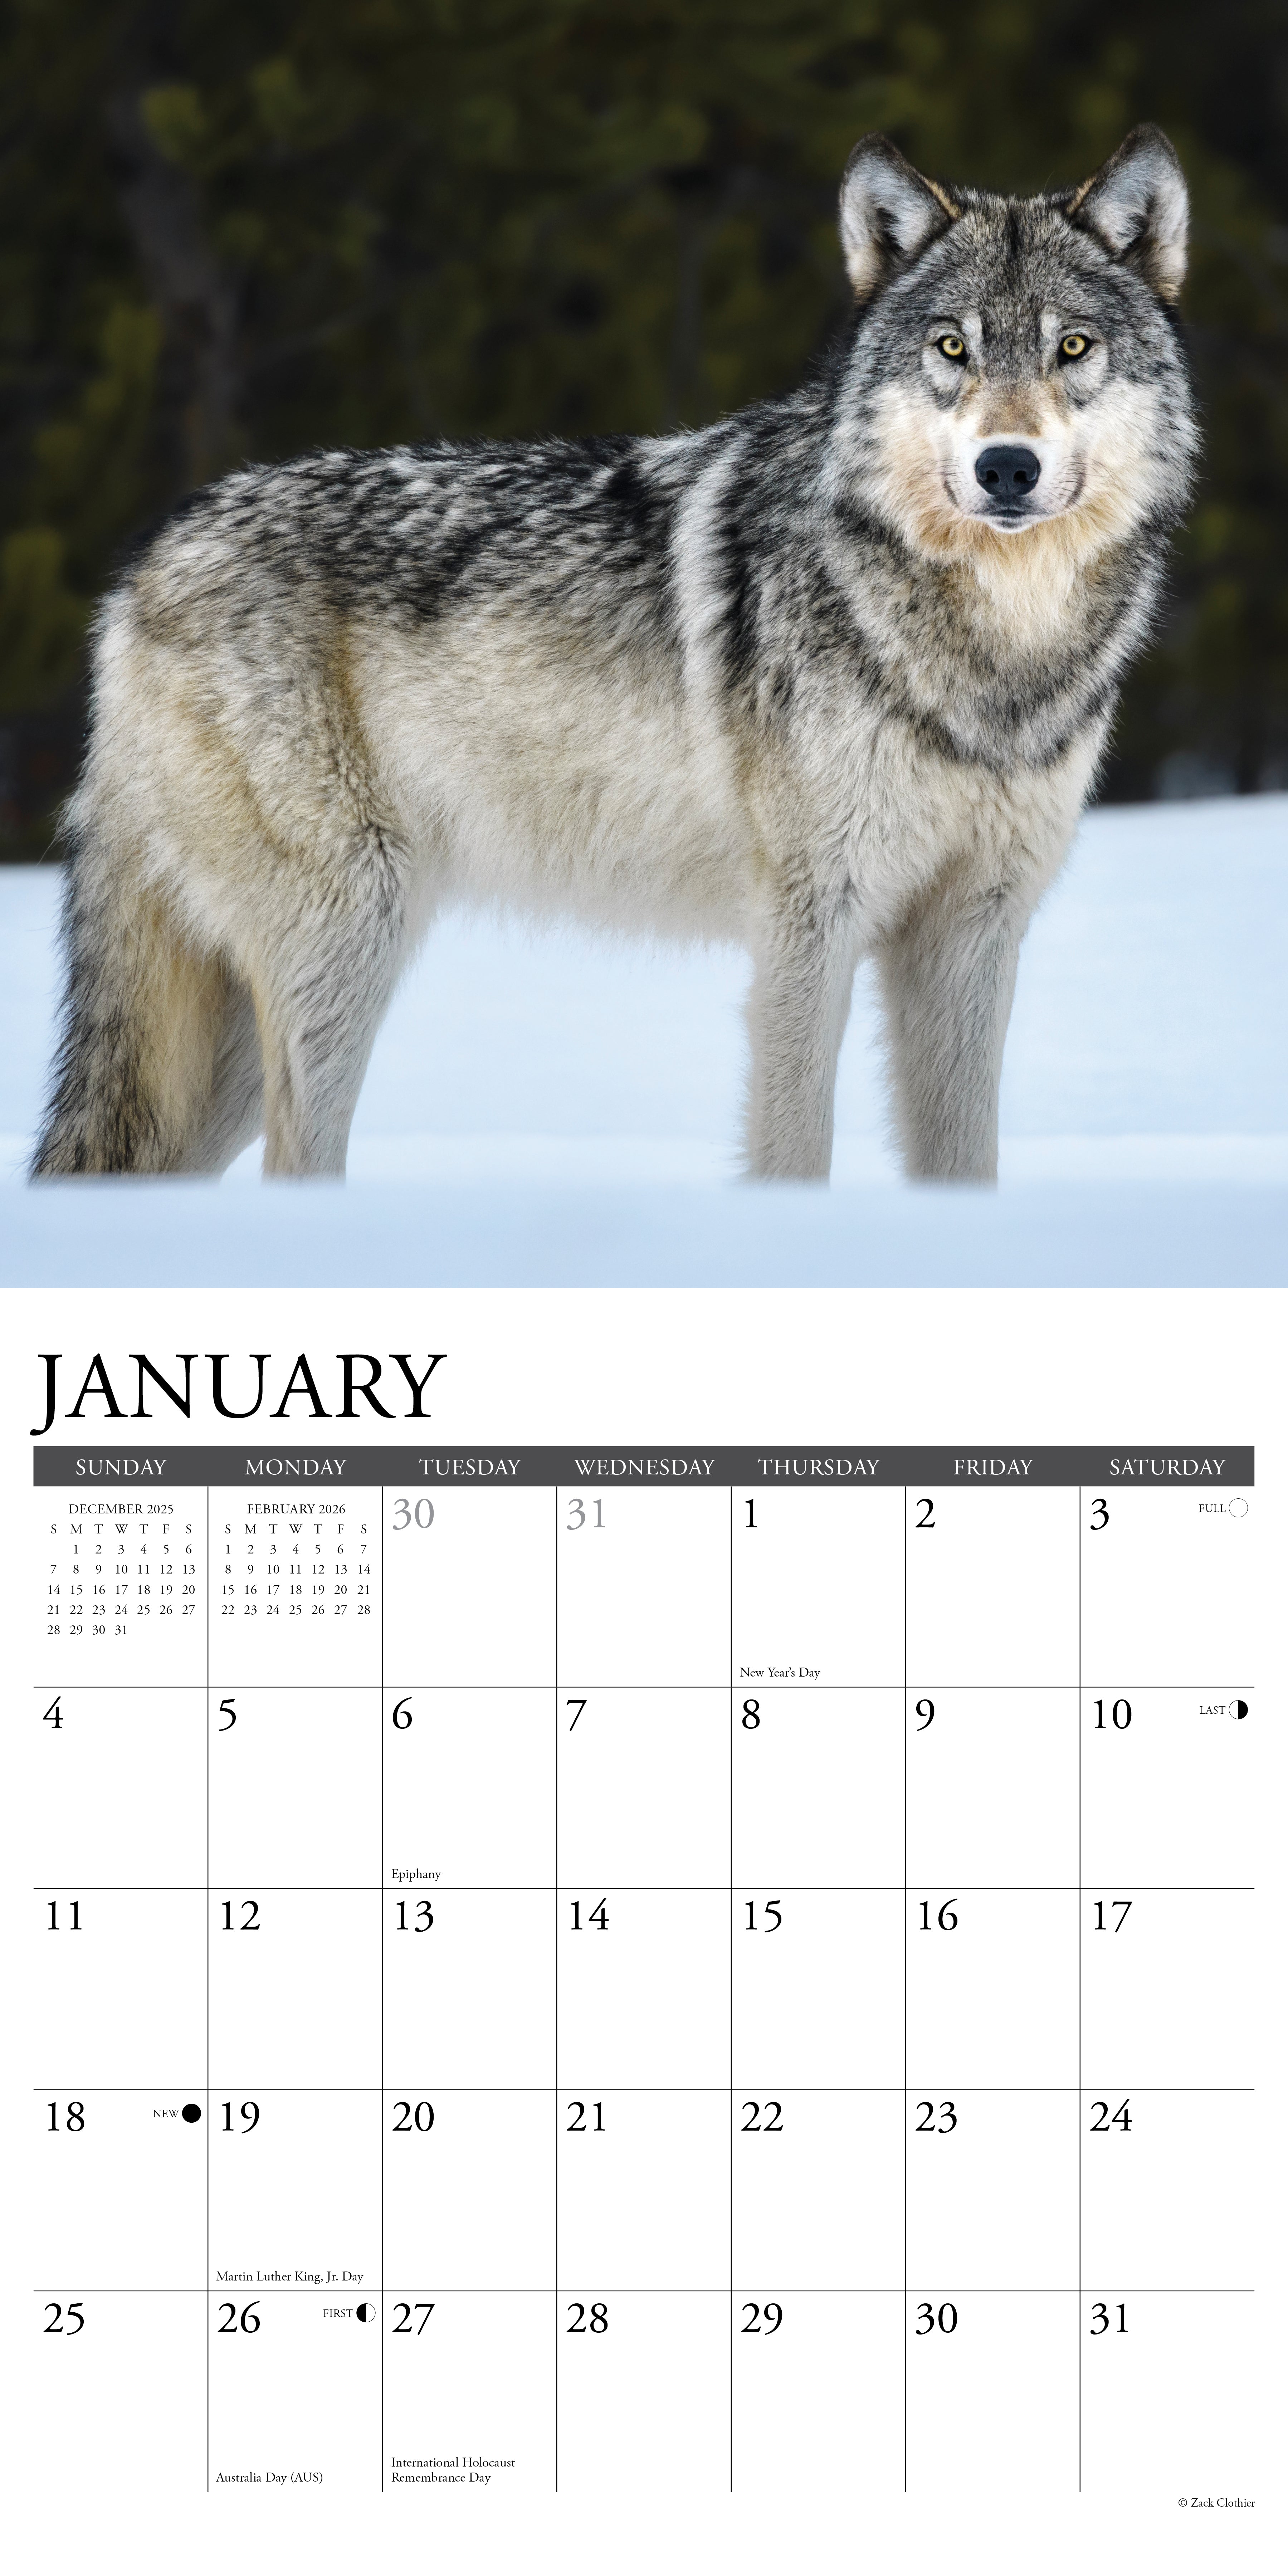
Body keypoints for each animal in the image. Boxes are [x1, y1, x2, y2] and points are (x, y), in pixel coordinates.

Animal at [32, 125, 1195, 1183]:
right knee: (295, 1162)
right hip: (343, 951)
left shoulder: (972, 934)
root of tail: (145, 565)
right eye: (952, 348)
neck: (994, 652)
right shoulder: (809, 925)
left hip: (233, 1045)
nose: (1008, 467)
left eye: (1072, 349)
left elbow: (966, 1162)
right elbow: (793, 1150)